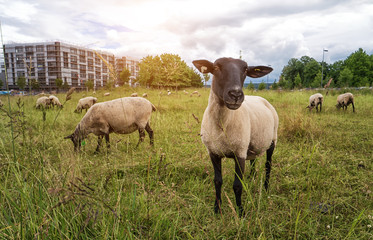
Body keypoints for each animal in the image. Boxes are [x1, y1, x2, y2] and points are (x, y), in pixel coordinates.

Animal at [192, 57, 276, 216]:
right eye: (216, 67)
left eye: (245, 70)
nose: (236, 95)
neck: (222, 125)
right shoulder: (213, 152)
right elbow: (217, 181)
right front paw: (217, 209)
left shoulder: (240, 152)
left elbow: (237, 185)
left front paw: (240, 211)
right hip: (252, 144)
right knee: (254, 160)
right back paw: (252, 178)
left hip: (272, 141)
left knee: (268, 165)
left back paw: (267, 188)